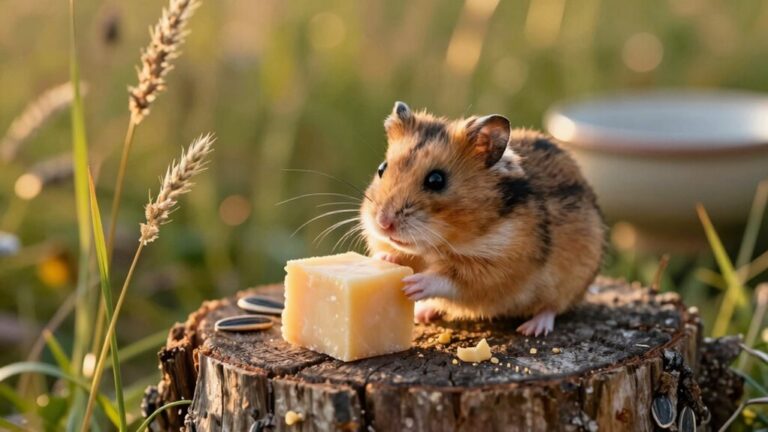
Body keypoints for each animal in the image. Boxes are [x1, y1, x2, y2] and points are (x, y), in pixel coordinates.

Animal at [361, 101, 604, 336]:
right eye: (382, 168)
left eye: (436, 180)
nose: (383, 223)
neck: (436, 245)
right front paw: (386, 259)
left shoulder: (498, 268)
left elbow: (452, 278)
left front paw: (413, 285)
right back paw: (424, 313)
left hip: (570, 282)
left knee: (552, 307)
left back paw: (532, 329)